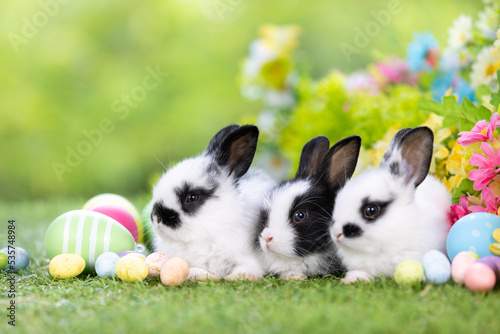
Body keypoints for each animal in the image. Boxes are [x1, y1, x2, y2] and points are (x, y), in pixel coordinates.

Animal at [152, 124, 278, 280]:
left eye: (192, 197)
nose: (157, 217)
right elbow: (195, 270)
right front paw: (208, 277)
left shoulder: (251, 259)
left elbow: (248, 268)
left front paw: (234, 277)